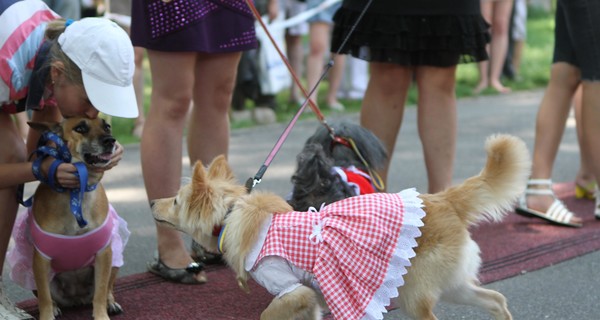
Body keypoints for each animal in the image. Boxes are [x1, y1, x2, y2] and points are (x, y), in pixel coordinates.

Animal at [151, 134, 528, 318]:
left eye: (176, 201)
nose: (152, 202)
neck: (230, 217)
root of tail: (444, 200)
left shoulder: (292, 290)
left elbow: (268, 314)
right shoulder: (309, 299)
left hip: (415, 295)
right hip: (450, 285)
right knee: (496, 299)